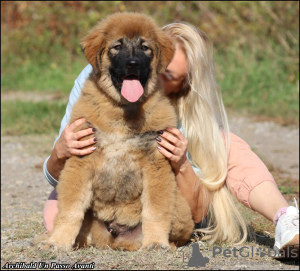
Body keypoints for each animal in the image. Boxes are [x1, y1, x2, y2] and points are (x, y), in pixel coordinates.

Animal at [34, 12, 195, 251]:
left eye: (145, 47)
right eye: (117, 47)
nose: (133, 63)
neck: (123, 110)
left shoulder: (155, 162)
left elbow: (155, 210)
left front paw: (156, 242)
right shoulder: (81, 157)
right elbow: (71, 209)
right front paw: (58, 241)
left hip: (181, 205)